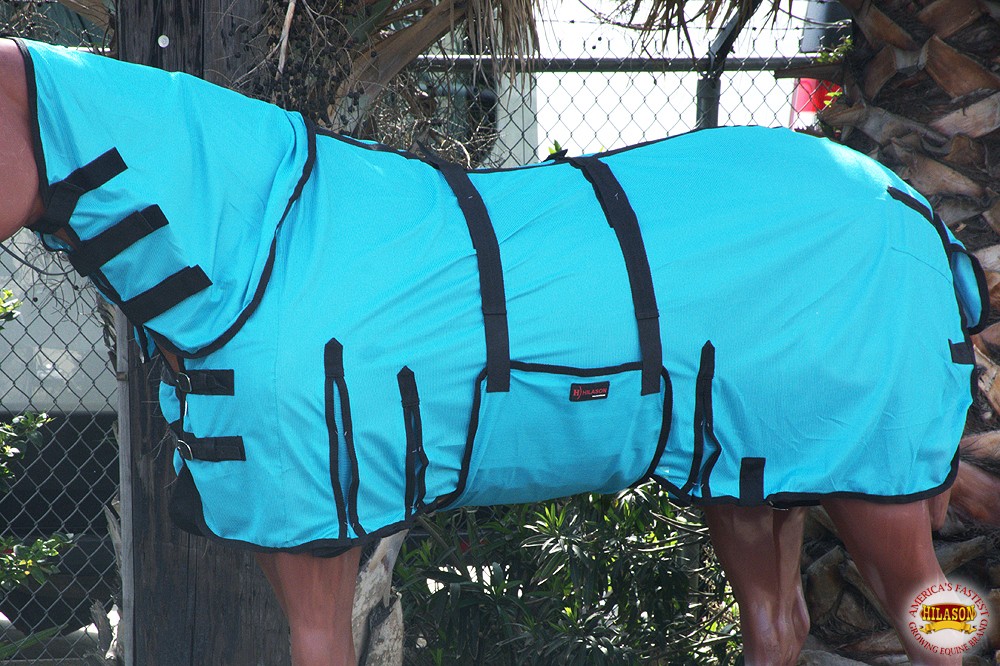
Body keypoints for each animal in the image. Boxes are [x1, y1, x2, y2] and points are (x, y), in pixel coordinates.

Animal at [0, 37, 988, 666]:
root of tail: (908, 198)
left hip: (876, 487)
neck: (268, 242)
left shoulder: (318, 535)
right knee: (777, 625)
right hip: (750, 476)